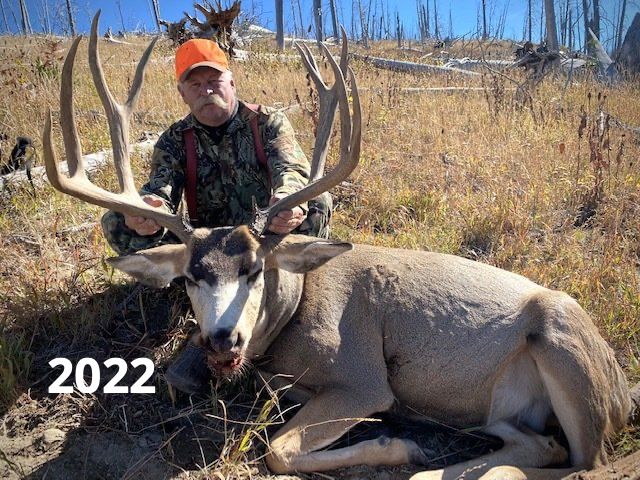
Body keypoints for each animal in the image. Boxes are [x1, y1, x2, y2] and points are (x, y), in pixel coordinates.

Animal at [43, 12, 632, 480]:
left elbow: (278, 449)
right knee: (538, 441)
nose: (222, 340)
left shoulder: (363, 378)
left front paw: (395, 444)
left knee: (582, 459)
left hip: (561, 344)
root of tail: (624, 390)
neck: (296, 311)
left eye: (255, 269)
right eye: (191, 276)